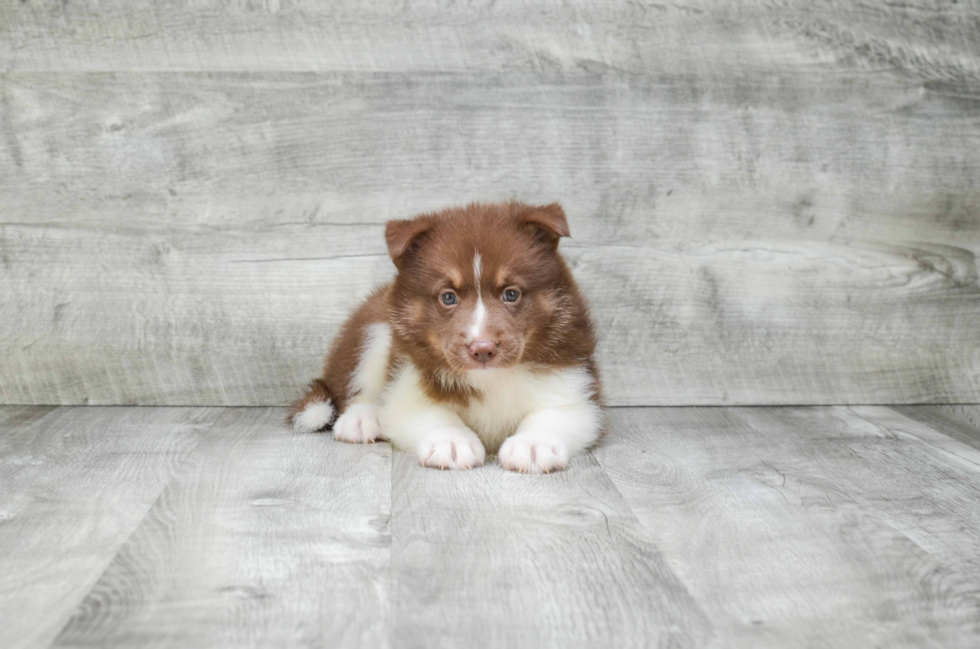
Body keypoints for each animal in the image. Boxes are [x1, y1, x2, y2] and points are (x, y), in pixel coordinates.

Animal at [288, 202, 600, 470]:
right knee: (355, 388)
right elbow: (432, 413)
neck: (490, 378)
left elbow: (556, 414)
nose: (482, 349)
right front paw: (451, 441)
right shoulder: (408, 382)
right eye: (448, 297)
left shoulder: (577, 385)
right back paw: (361, 420)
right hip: (372, 332)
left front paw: (534, 445)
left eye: (511, 294)